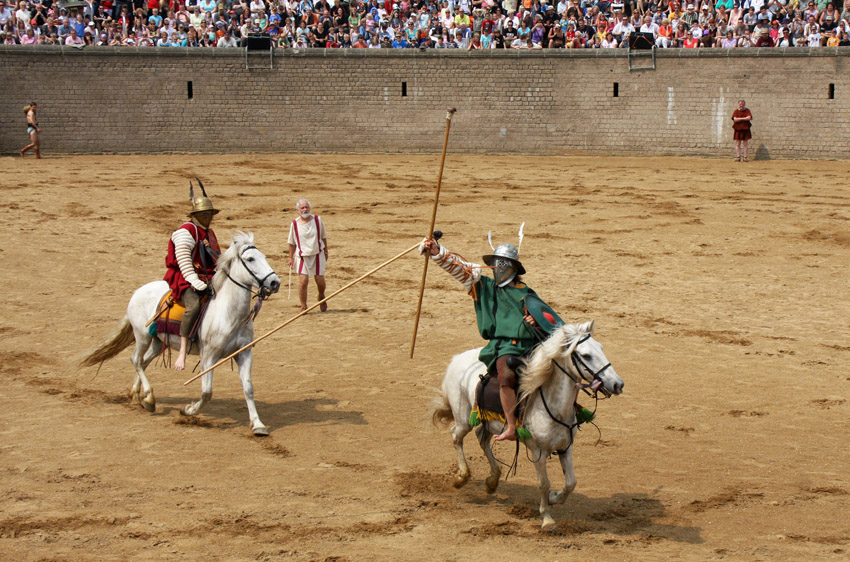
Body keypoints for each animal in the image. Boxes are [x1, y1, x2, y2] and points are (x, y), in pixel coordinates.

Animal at [80, 230, 280, 436]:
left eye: (264, 257)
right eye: (250, 259)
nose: (274, 282)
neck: (229, 313)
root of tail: (138, 292)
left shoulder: (244, 353)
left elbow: (248, 388)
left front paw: (257, 424)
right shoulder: (208, 356)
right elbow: (207, 392)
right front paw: (187, 410)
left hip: (158, 342)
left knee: (143, 361)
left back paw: (136, 394)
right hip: (142, 337)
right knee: (136, 359)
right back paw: (149, 398)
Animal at [430, 320, 624, 524]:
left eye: (601, 348)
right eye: (586, 355)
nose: (618, 384)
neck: (554, 406)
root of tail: (457, 358)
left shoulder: (566, 446)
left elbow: (571, 482)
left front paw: (554, 498)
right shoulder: (537, 451)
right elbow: (544, 483)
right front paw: (547, 518)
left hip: (489, 423)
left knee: (482, 438)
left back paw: (492, 480)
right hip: (463, 419)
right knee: (456, 436)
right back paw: (462, 477)